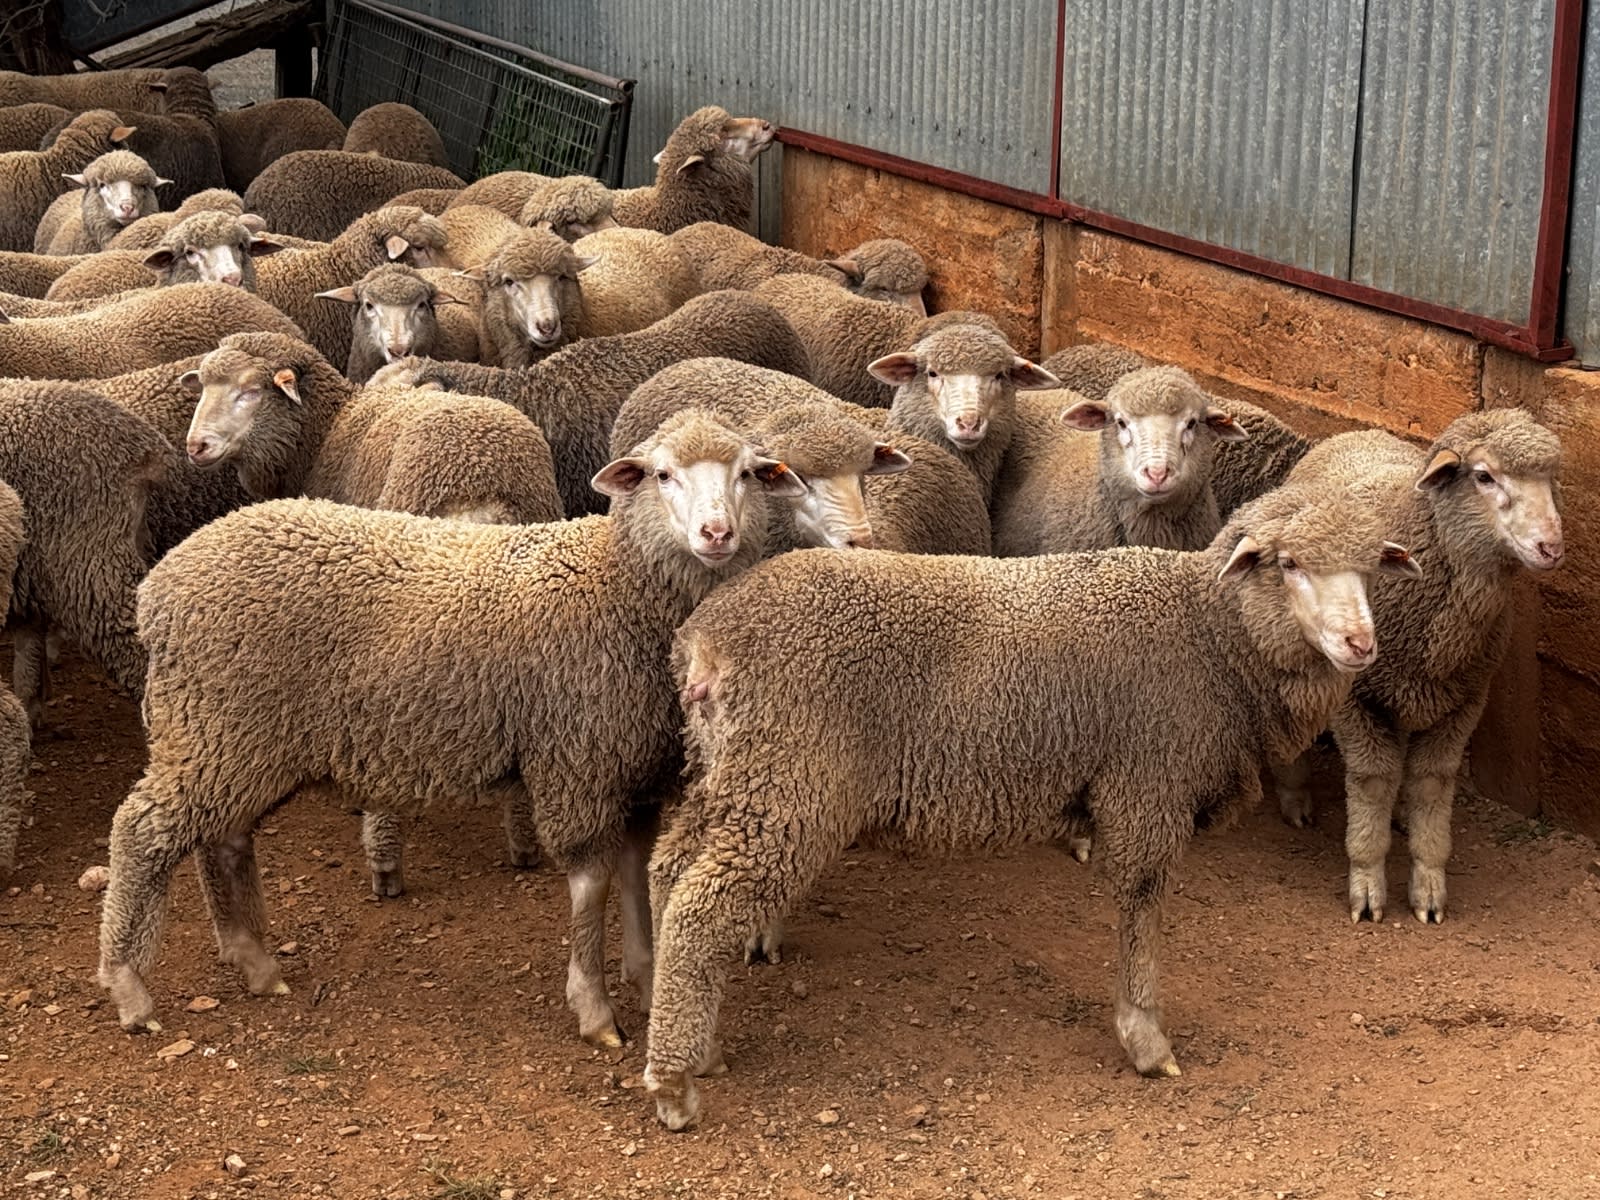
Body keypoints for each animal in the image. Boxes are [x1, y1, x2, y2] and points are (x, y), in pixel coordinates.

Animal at [96, 407, 804, 1043]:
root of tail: (158, 588)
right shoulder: (577, 759)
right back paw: (130, 987)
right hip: (214, 723)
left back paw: (253, 961)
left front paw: (647, 976)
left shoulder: (632, 768)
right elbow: (591, 884)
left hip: (235, 739)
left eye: (747, 473)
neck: (618, 584)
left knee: (224, 839)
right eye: (663, 475)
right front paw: (596, 1009)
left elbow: (633, 872)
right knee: (142, 832)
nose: (716, 532)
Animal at [642, 478, 1423, 1129]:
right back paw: (676, 1084)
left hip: (728, 771)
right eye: (1288, 565)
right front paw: (1144, 1035)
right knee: (701, 908)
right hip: (789, 780)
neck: (1211, 637)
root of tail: (706, 641)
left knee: (667, 871)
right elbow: (1142, 906)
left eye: (1372, 568)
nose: (1360, 643)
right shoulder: (1148, 785)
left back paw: (679, 1027)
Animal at [1277, 409, 1563, 925]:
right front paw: (1367, 884)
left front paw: (1428, 886)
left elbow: (1431, 783)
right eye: (1484, 476)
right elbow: (1373, 781)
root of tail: (1359, 432)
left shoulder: (1463, 702)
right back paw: (1295, 796)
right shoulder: (1356, 701)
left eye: (1551, 480)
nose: (1551, 546)